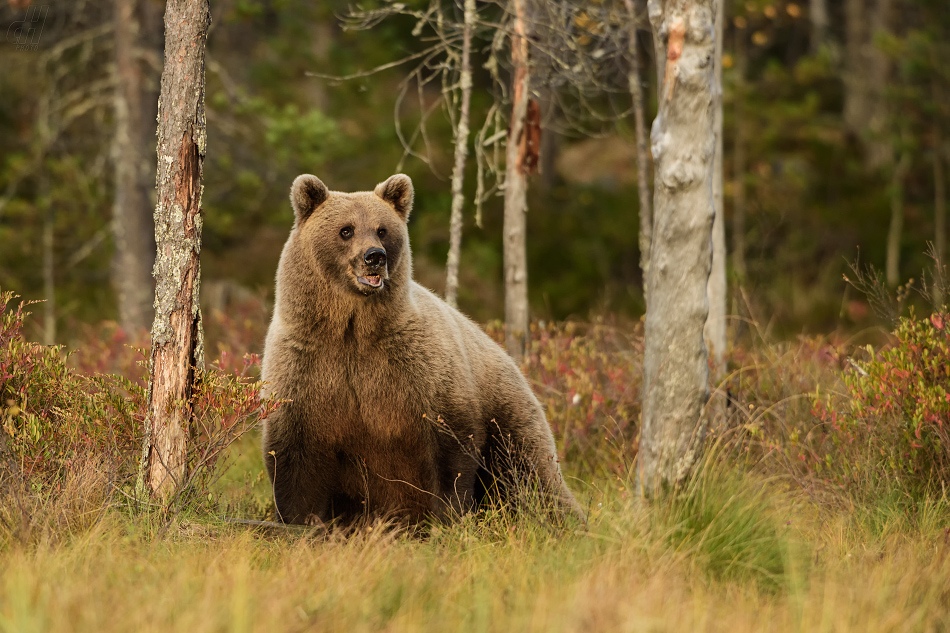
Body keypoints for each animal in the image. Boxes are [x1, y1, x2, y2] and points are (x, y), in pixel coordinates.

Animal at [262, 173, 588, 524]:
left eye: (382, 229)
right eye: (345, 229)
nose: (375, 256)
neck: (352, 330)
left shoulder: (422, 371)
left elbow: (450, 452)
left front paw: (450, 516)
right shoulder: (306, 369)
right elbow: (295, 460)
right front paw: (301, 520)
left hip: (507, 414)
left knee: (527, 476)